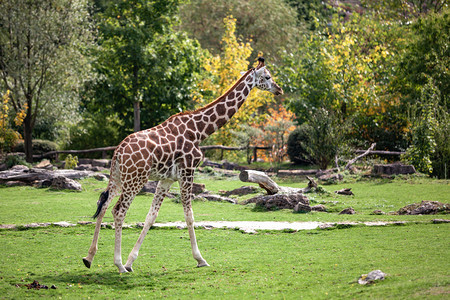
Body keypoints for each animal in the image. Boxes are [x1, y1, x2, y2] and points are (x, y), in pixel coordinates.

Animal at [82, 56, 284, 274]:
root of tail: (118, 151)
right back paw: (118, 265)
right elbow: (189, 215)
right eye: (267, 76)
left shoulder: (167, 179)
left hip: (117, 178)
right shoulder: (188, 171)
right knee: (118, 211)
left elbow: (151, 216)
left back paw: (89, 258)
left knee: (103, 206)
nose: (279, 89)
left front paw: (131, 261)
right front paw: (200, 259)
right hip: (135, 180)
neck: (200, 131)